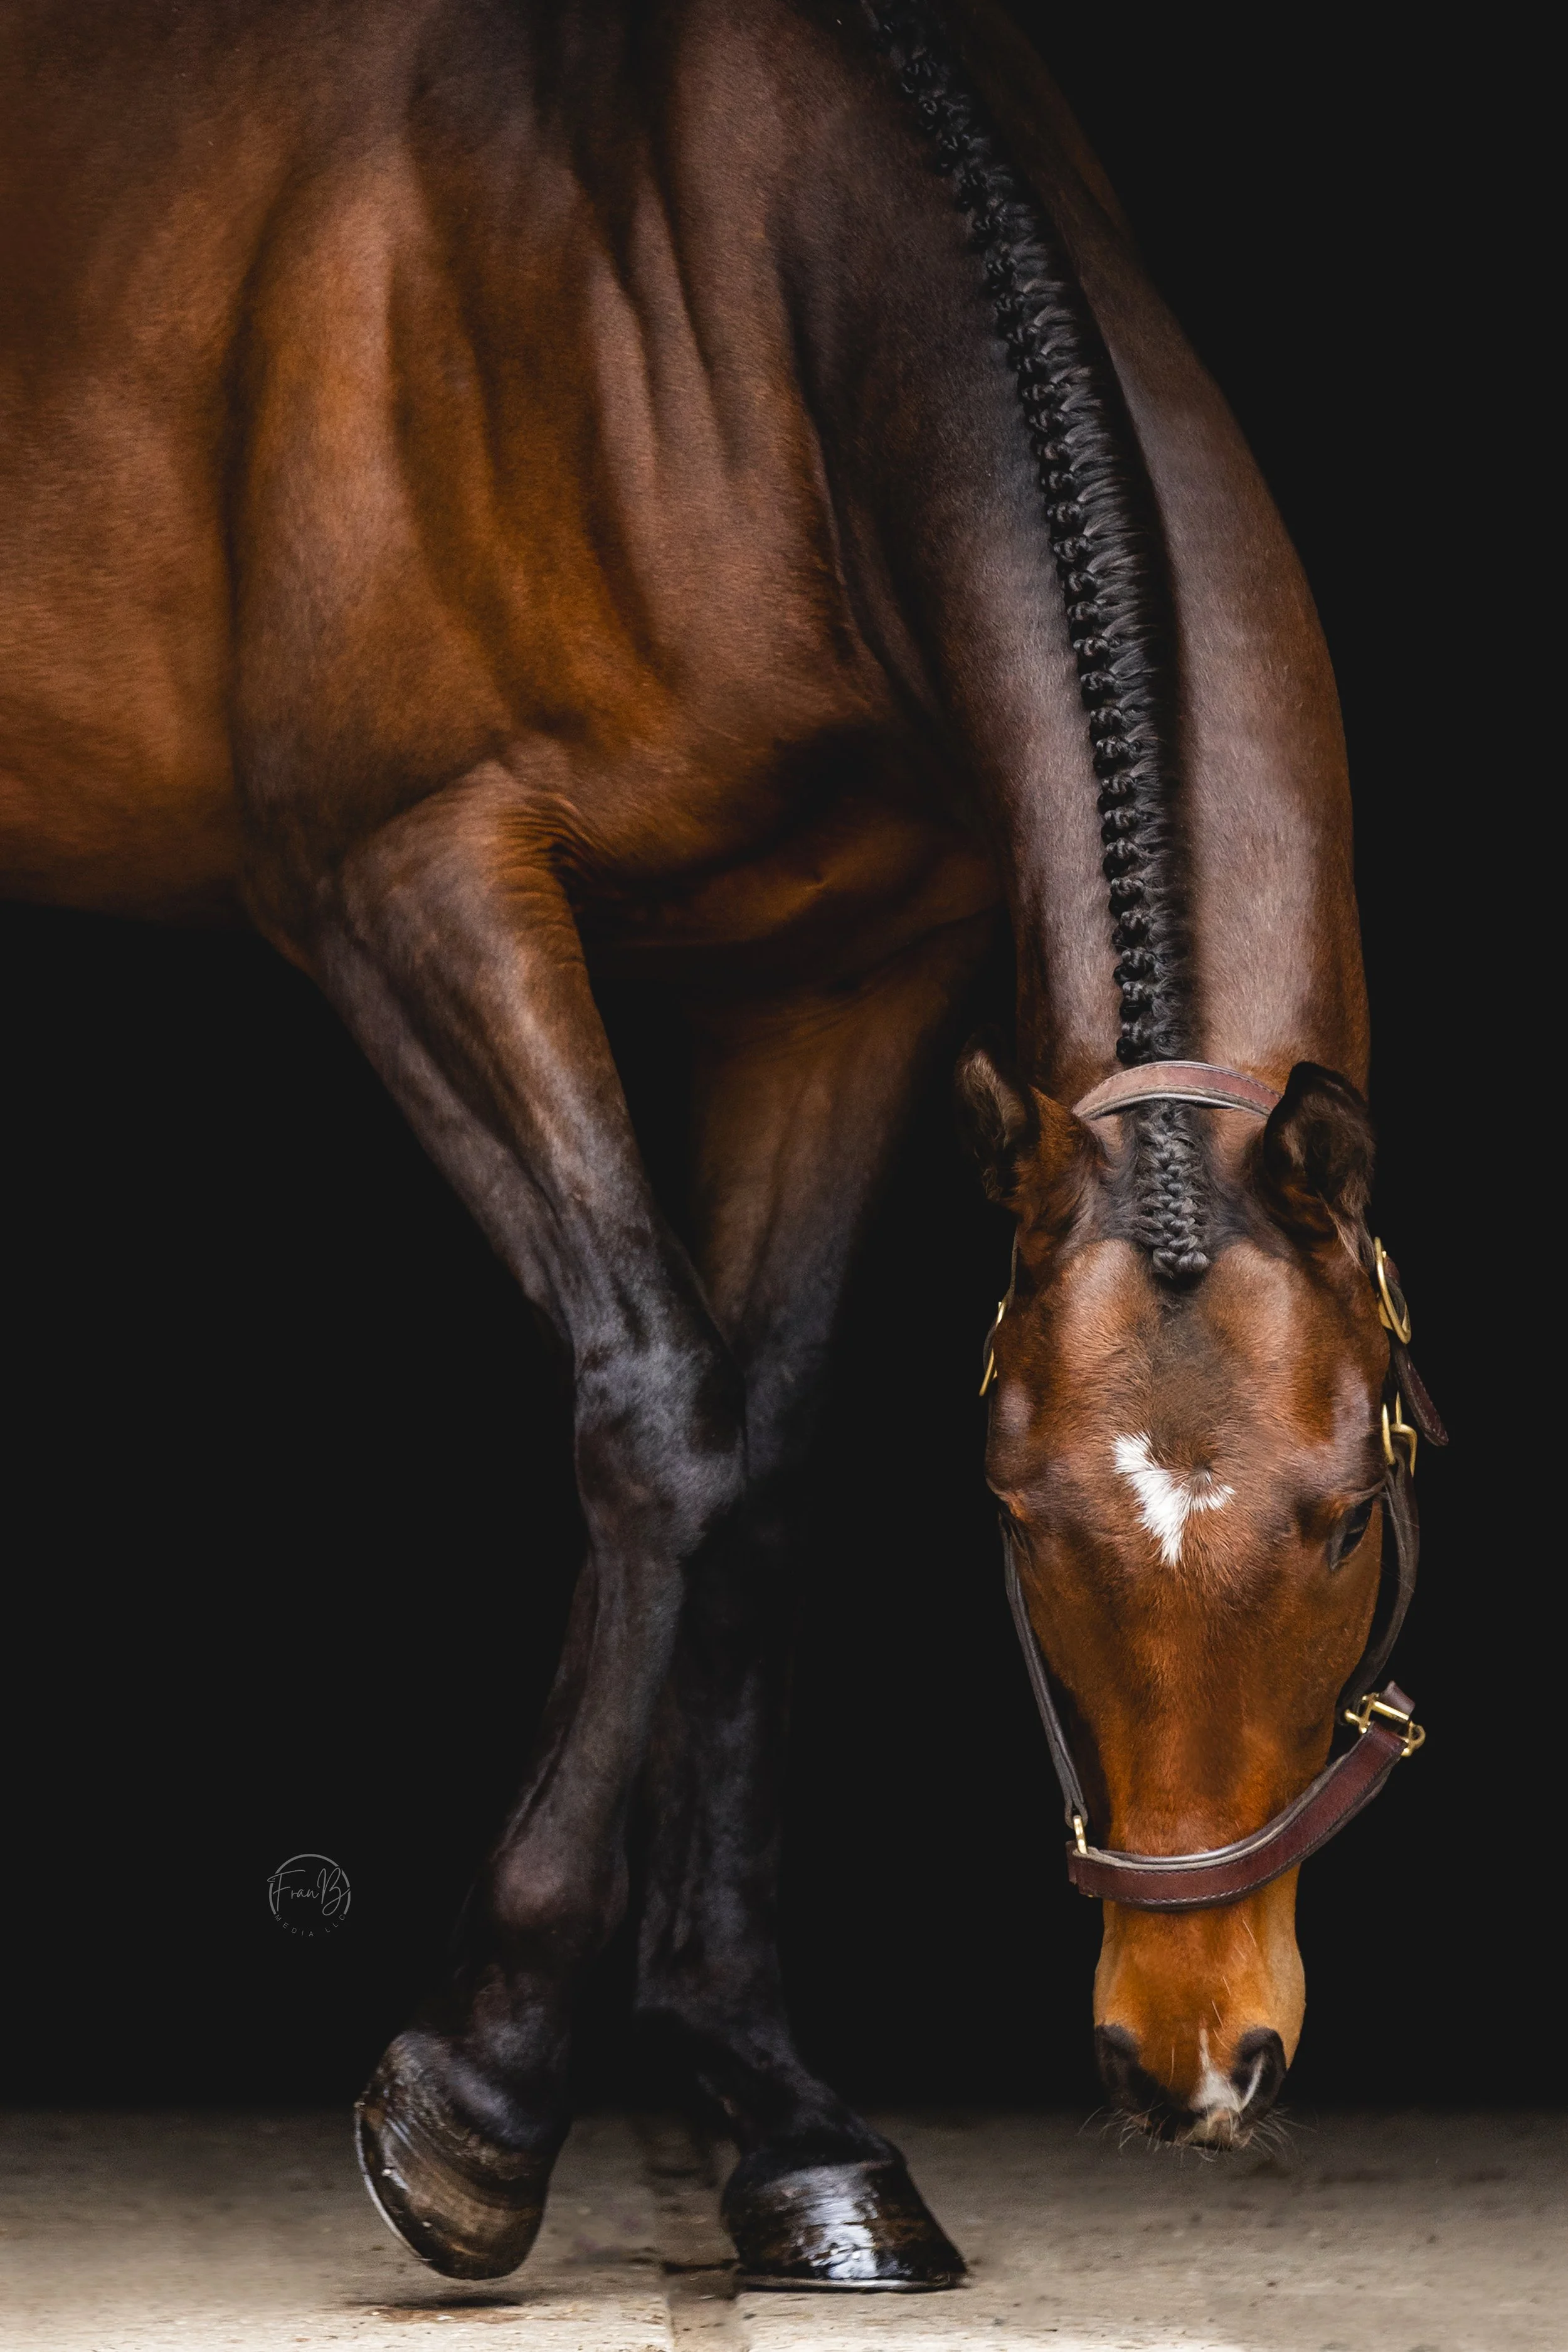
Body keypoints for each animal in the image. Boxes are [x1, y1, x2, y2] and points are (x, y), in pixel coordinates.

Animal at [0, 0, 1442, 2293]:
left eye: (1339, 1518)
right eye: (1024, 1521)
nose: (1185, 2051)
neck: (715, 301)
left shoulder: (838, 980)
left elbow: (758, 1479)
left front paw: (787, 2121)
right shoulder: (408, 878)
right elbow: (661, 1408)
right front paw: (476, 2102)